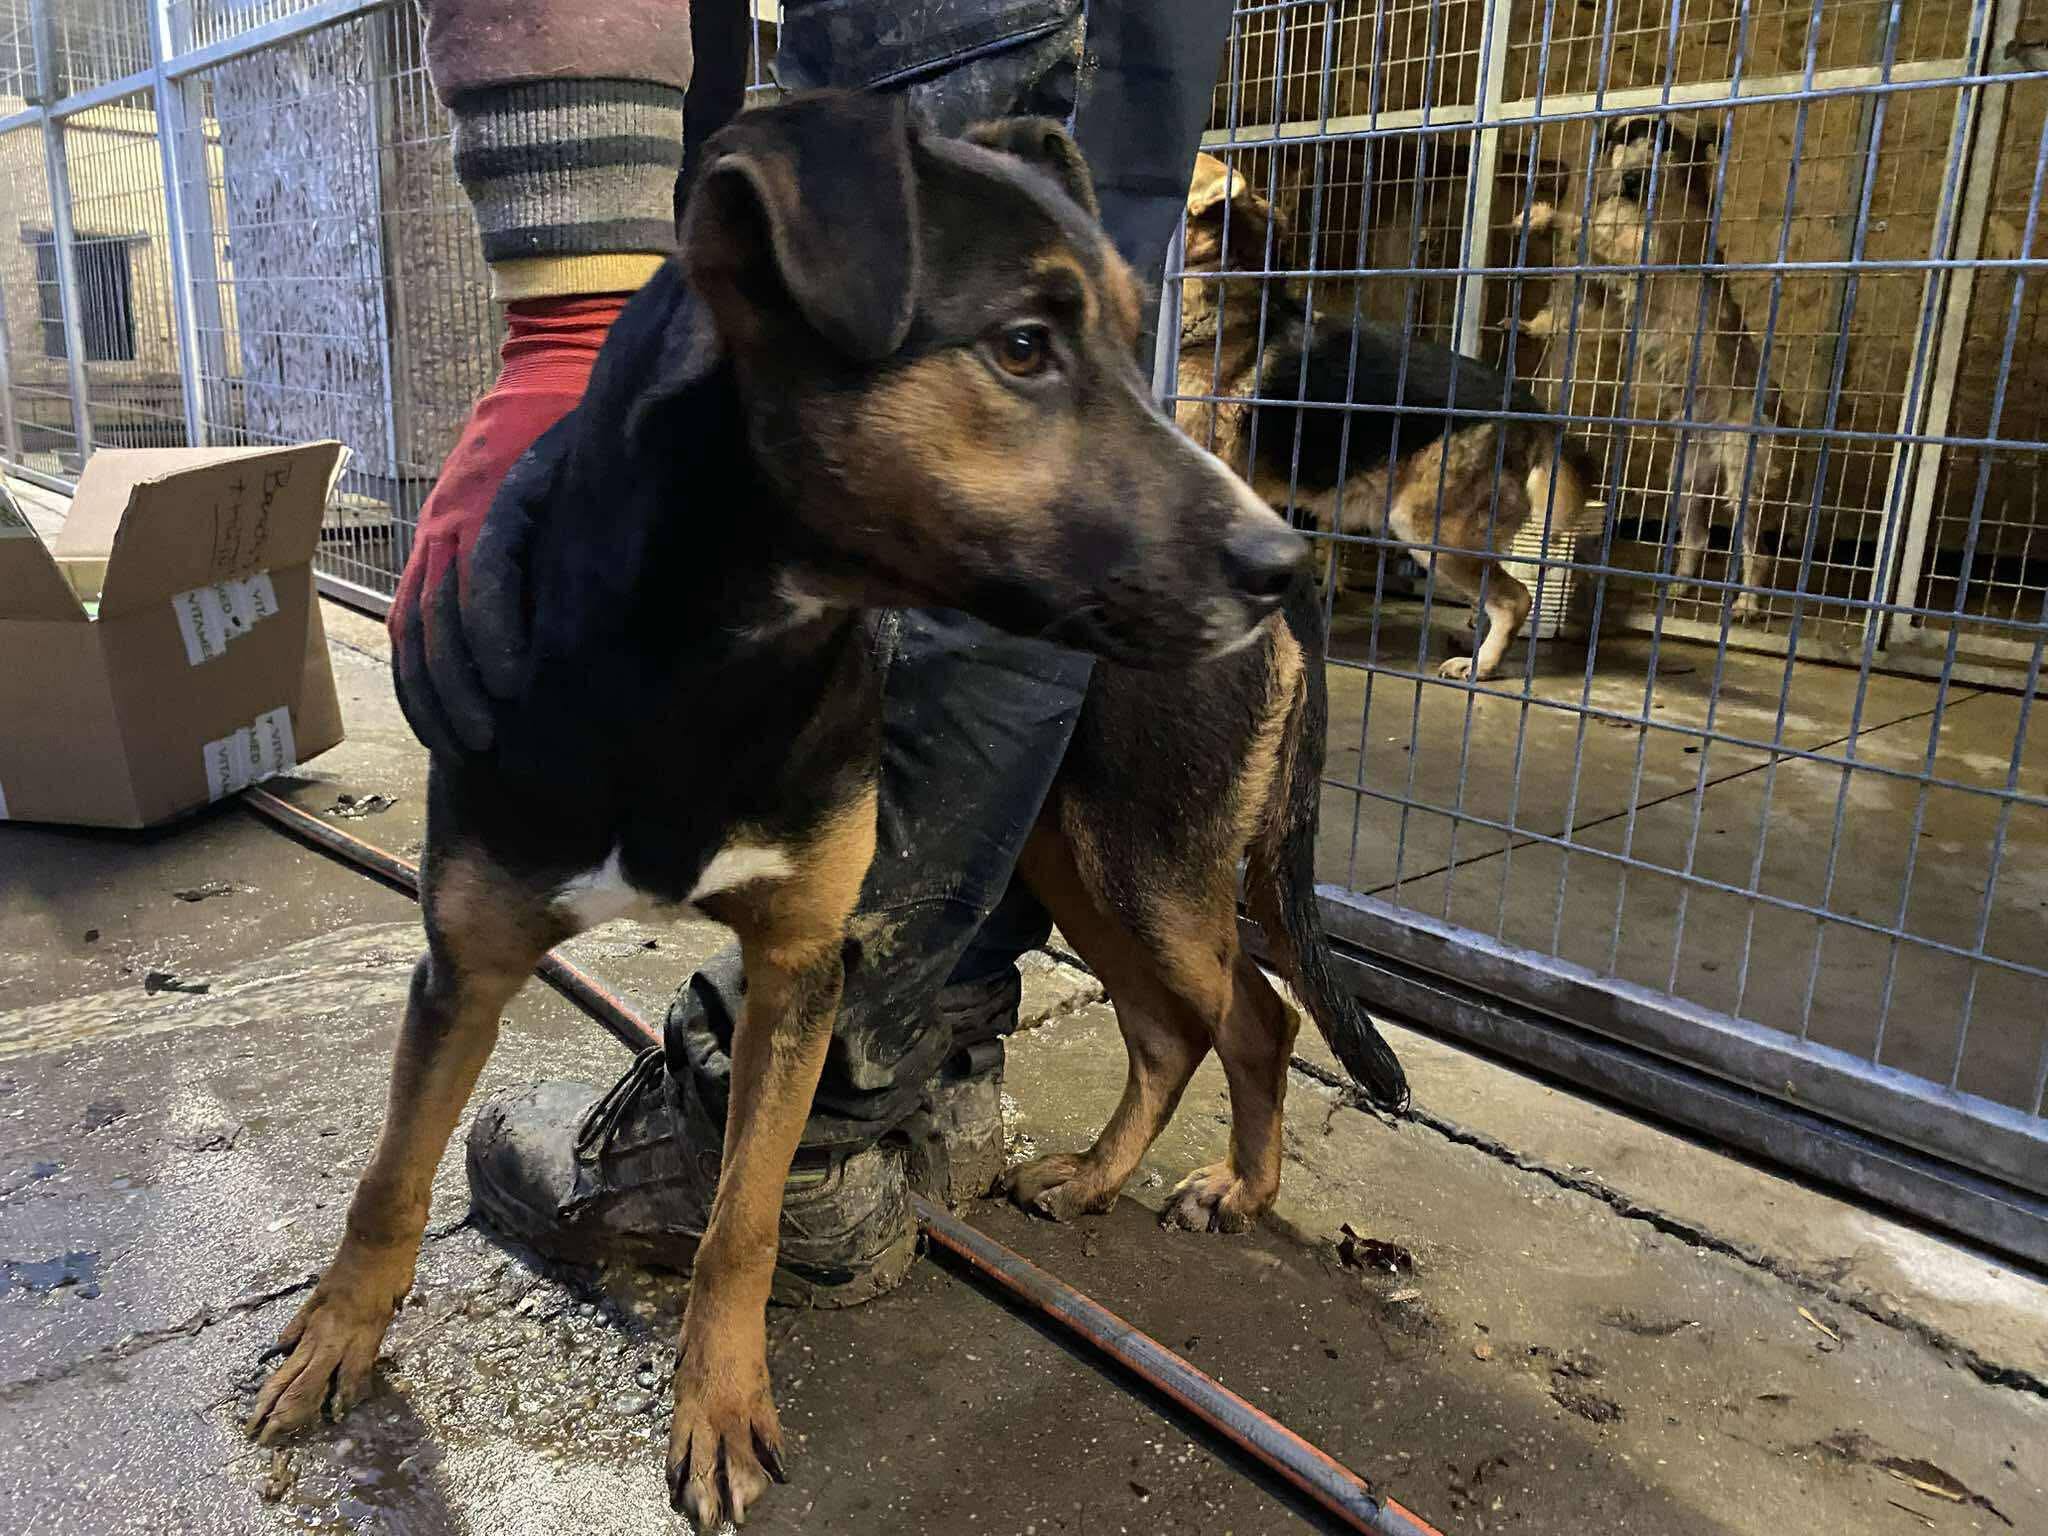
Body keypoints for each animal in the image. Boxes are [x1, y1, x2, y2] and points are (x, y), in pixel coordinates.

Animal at [245, 95, 1407, 1529]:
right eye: (1023, 346)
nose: (1280, 563)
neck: (710, 660)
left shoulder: (802, 964)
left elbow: (742, 1221)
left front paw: (721, 1409)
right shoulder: (466, 956)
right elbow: (389, 1176)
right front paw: (336, 1342)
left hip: (1147, 860)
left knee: (1253, 1014)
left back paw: (1237, 1185)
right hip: (1079, 859)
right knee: (1172, 1024)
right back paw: (1098, 1174)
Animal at [1514, 115, 1785, 619]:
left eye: (1667, 141)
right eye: (1626, 137)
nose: (1630, 179)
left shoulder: (1640, 256)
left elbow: (1585, 228)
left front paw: (1548, 215)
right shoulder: (1601, 288)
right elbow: (1564, 302)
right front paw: (1531, 319)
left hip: (1745, 477)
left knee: (1755, 549)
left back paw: (1747, 602)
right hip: (1686, 478)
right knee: (1697, 535)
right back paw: (1678, 586)